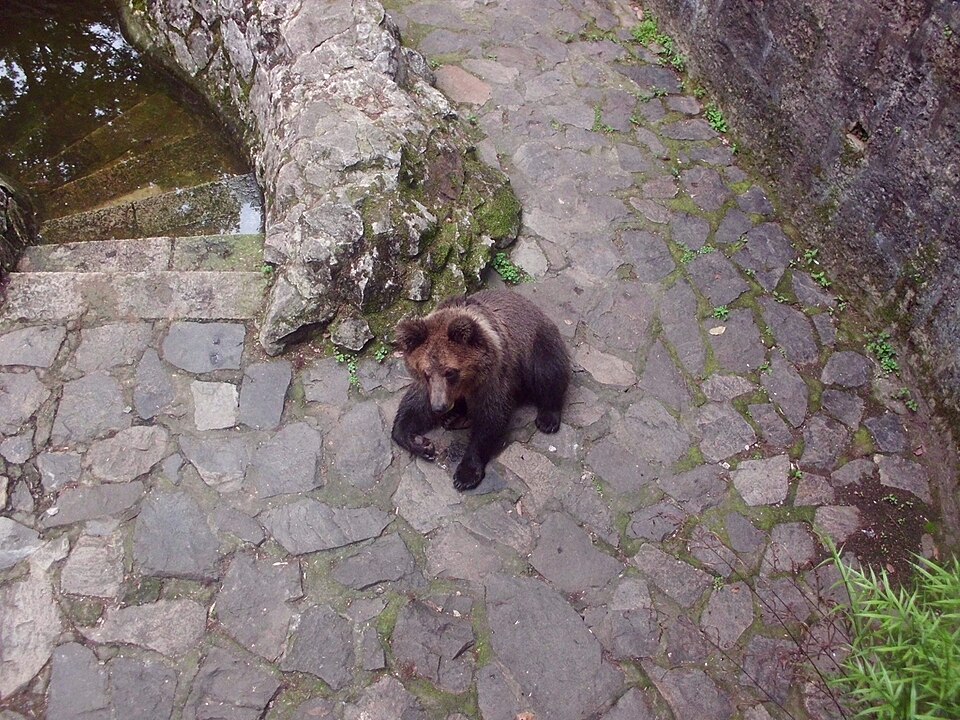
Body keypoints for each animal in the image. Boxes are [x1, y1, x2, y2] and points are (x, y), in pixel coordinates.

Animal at [391, 288, 570, 491]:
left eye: (450, 372)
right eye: (426, 372)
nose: (439, 407)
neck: (466, 384)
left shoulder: (493, 378)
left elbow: (490, 418)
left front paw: (466, 474)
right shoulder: (428, 387)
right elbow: (414, 407)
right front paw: (420, 443)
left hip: (536, 344)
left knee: (547, 371)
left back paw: (548, 417)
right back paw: (454, 417)